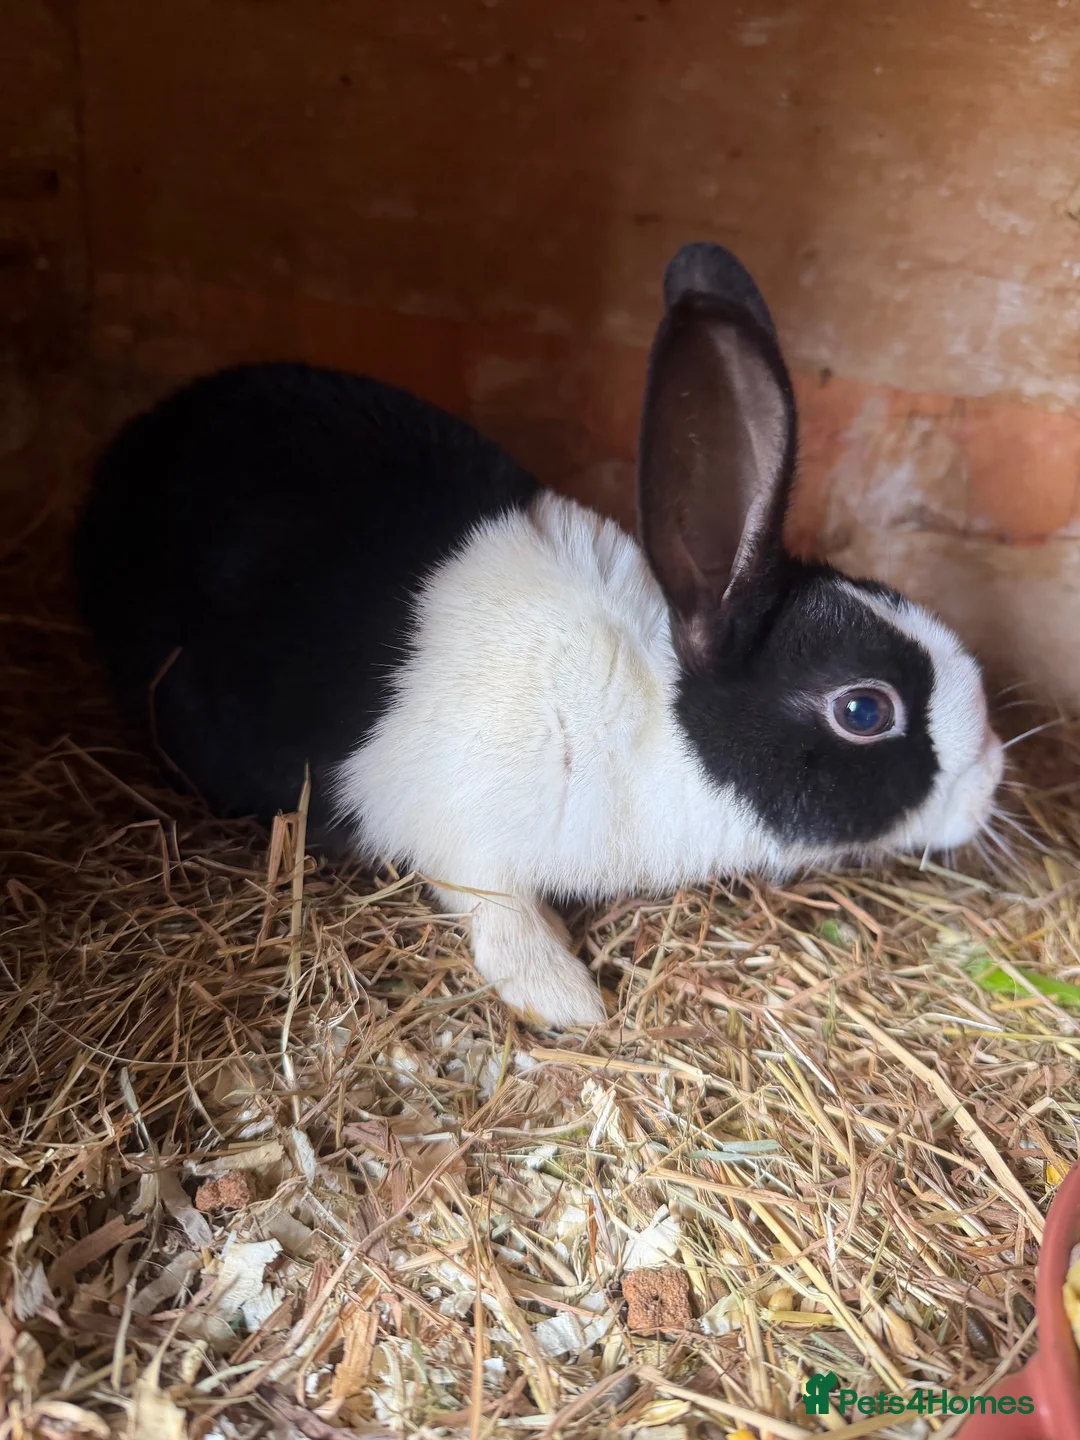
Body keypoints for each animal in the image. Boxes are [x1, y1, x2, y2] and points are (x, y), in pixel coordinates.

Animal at [75, 242, 1004, 1027]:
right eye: (864, 711)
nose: (992, 778)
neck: (650, 716)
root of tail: (129, 449)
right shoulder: (467, 836)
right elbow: (501, 915)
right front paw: (568, 1000)